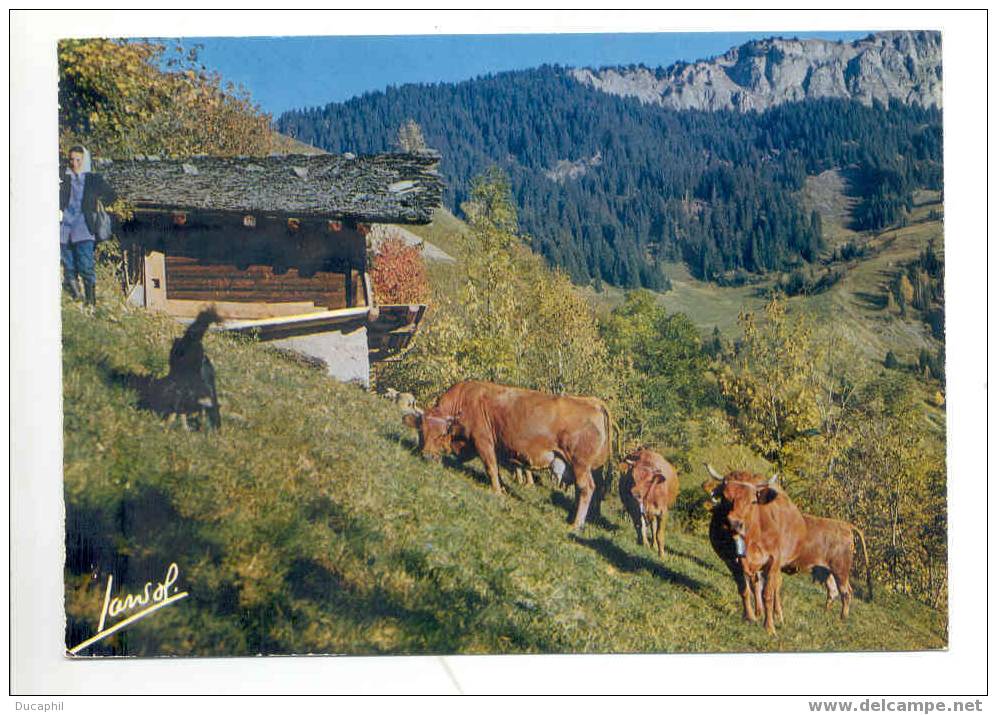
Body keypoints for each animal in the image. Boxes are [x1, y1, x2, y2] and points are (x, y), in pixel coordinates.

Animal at [402, 380, 608, 532]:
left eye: (441, 434)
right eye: (421, 431)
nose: (427, 456)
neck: (465, 400)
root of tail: (592, 402)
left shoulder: (483, 440)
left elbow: (491, 466)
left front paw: (497, 491)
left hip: (580, 465)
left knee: (586, 489)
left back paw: (576, 524)